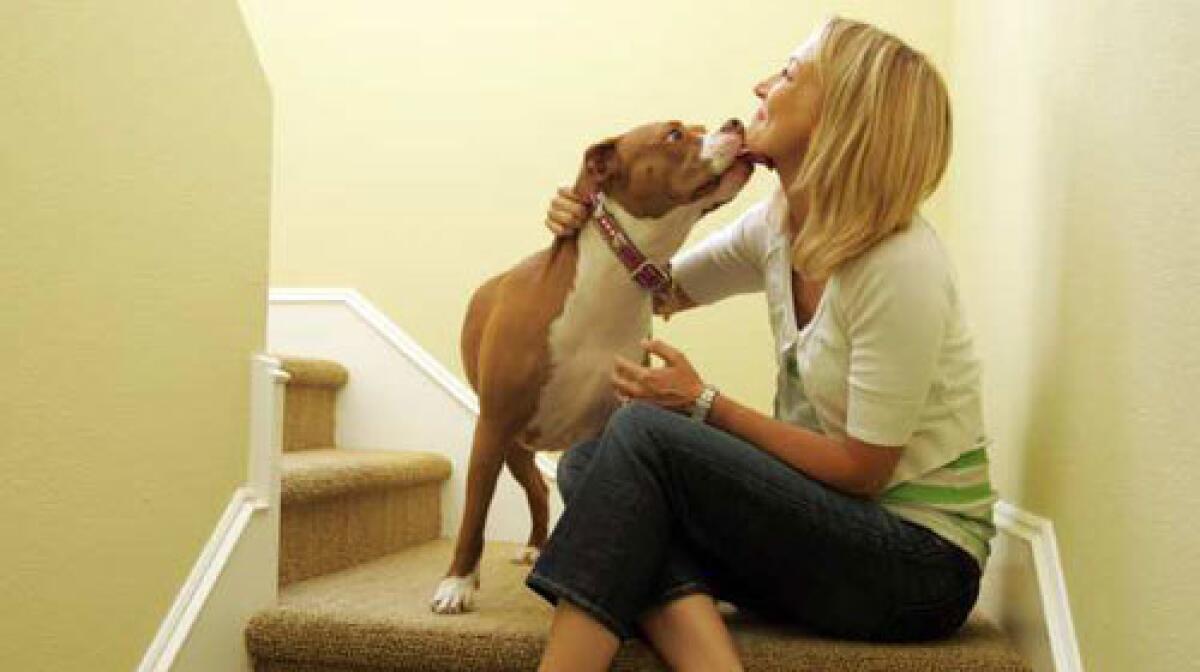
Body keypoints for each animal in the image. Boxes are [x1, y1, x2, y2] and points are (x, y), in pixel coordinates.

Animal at [429, 118, 748, 612]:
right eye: (675, 134)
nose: (735, 122)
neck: (612, 285)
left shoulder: (606, 424)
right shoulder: (494, 424)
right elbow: (475, 510)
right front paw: (457, 584)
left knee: (540, 488)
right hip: (510, 439)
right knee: (531, 488)